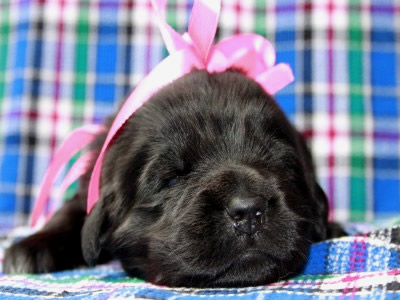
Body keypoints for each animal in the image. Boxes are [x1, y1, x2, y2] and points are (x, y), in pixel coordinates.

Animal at [2, 69, 344, 288]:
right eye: (170, 180)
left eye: (279, 162)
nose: (248, 211)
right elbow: (73, 211)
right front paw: (31, 249)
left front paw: (331, 227)